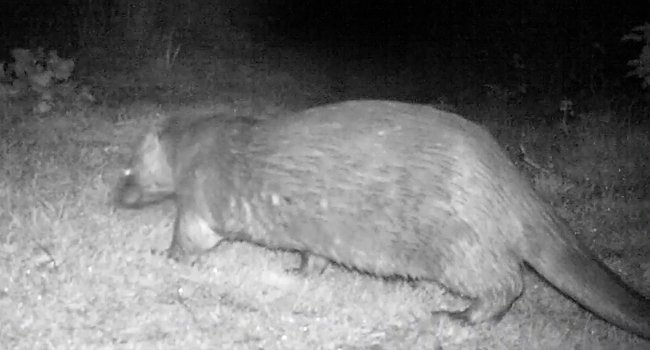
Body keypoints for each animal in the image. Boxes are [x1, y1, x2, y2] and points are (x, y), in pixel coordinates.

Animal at [114, 99, 648, 340]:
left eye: (127, 168)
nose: (115, 196)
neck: (197, 147)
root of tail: (502, 173)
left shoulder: (200, 199)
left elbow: (190, 238)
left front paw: (163, 256)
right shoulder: (313, 233)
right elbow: (313, 257)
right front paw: (297, 271)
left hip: (456, 244)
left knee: (506, 282)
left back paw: (456, 316)